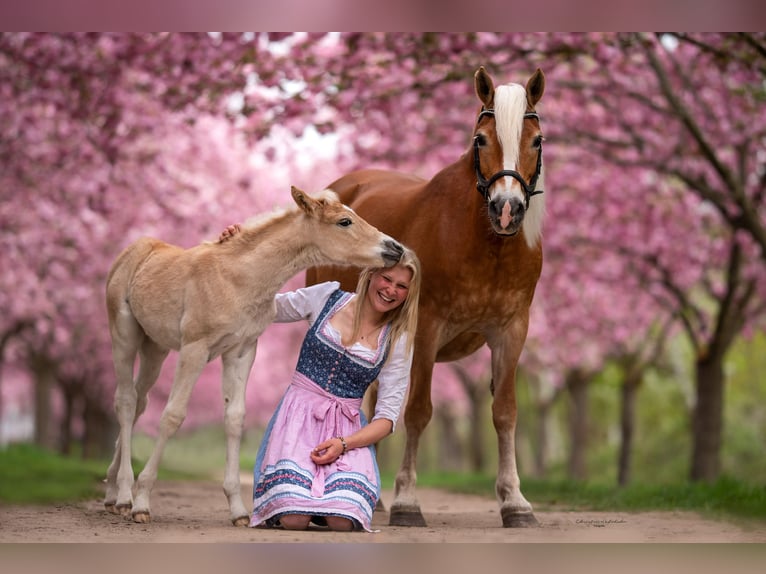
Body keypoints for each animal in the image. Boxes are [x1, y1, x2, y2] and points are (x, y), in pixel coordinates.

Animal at [105, 188, 404, 528]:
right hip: (125, 335)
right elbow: (172, 416)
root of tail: (134, 249)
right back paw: (125, 496)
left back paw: (112, 492)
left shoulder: (242, 350)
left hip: (155, 347)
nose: (395, 248)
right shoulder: (195, 348)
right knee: (126, 401)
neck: (239, 279)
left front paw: (238, 510)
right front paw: (142, 501)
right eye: (344, 221)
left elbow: (235, 419)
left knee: (139, 402)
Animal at [306, 67, 544, 532]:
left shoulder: (512, 330)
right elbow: (417, 411)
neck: (485, 243)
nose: (507, 210)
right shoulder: (427, 328)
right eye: (480, 139)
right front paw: (407, 502)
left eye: (537, 140)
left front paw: (515, 502)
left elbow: (505, 412)